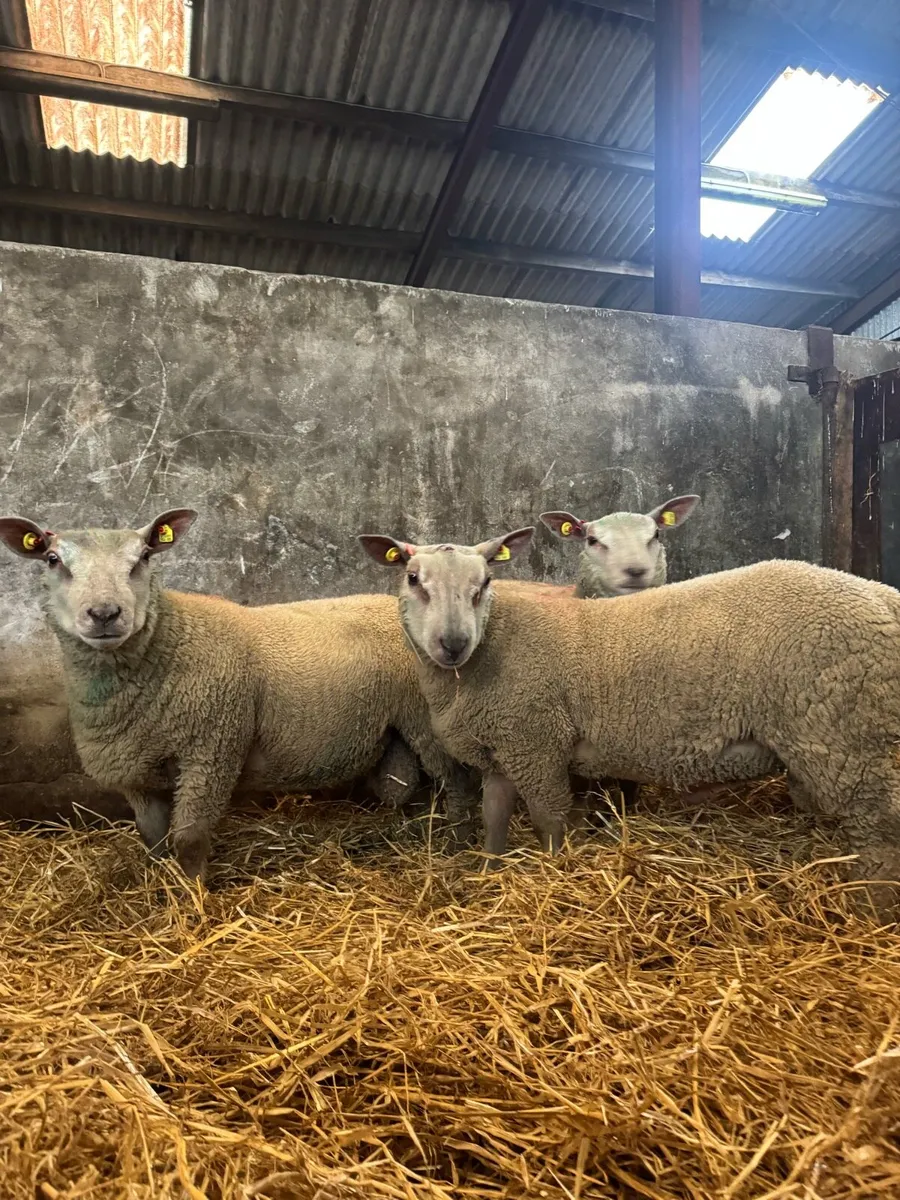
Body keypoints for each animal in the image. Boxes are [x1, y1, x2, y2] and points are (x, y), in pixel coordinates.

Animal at [0, 510, 477, 881]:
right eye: (52, 558)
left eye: (144, 558)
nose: (104, 614)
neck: (167, 643)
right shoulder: (136, 768)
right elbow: (153, 838)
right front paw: (161, 884)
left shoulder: (212, 748)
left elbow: (189, 837)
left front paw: (194, 900)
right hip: (399, 731)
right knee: (413, 787)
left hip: (426, 722)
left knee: (457, 782)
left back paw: (456, 844)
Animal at [359, 529, 900, 920]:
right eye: (413, 578)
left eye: (485, 583)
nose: (452, 642)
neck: (488, 649)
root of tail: (881, 596)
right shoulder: (504, 746)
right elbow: (494, 817)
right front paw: (491, 872)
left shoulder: (537, 741)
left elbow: (549, 818)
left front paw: (556, 872)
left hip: (845, 739)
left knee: (879, 836)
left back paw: (869, 912)